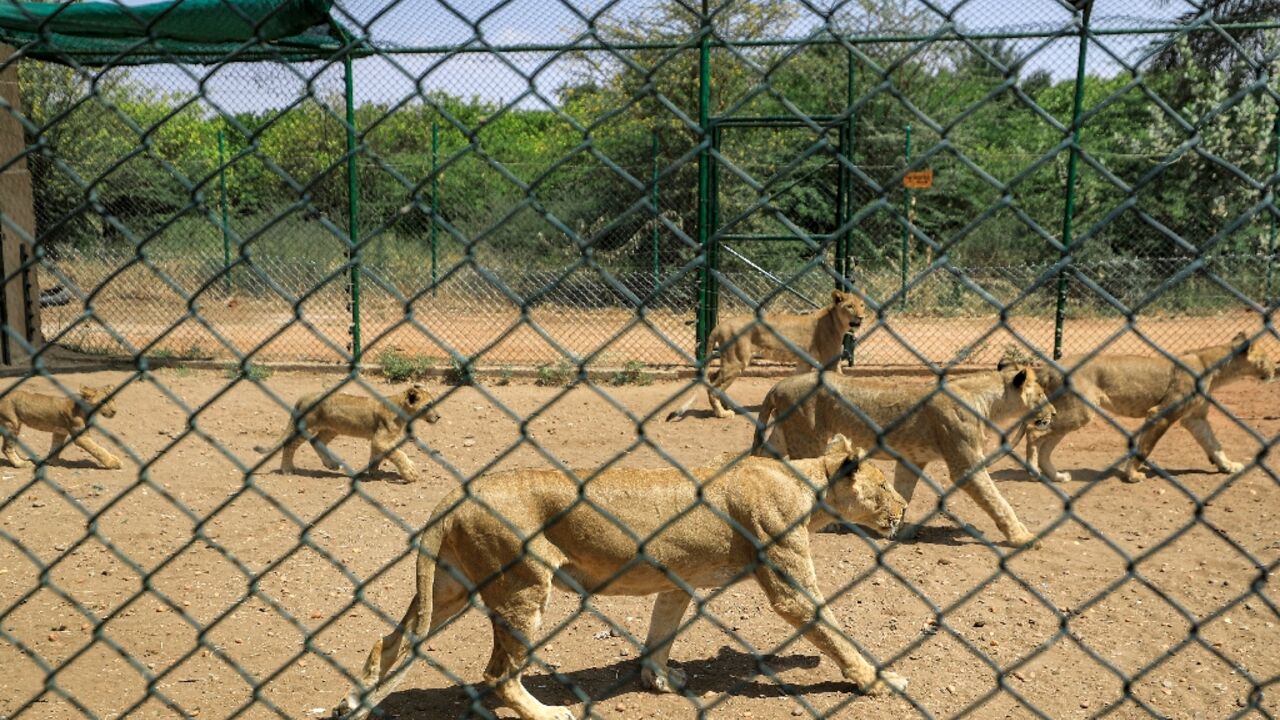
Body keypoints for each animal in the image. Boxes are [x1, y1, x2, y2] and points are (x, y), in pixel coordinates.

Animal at [256, 383, 440, 482]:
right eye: (428, 405)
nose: (439, 416)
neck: (402, 410)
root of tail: (305, 396)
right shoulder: (381, 439)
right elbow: (398, 454)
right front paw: (410, 473)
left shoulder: (378, 440)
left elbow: (377, 455)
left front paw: (373, 472)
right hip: (308, 426)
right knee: (290, 444)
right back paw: (287, 469)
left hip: (332, 428)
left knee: (316, 441)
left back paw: (331, 464)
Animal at [333, 435, 908, 720]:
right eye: (884, 485)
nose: (904, 510)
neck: (808, 485)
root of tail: (457, 493)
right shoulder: (790, 588)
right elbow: (837, 635)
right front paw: (882, 681)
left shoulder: (676, 581)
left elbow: (661, 634)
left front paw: (659, 680)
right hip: (523, 587)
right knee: (497, 675)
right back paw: (549, 713)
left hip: (450, 588)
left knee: (387, 641)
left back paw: (355, 701)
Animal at [666, 289, 866, 421]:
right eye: (850, 306)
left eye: (862, 305)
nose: (862, 317)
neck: (837, 322)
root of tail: (720, 325)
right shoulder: (830, 362)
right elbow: (843, 382)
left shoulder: (804, 361)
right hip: (736, 361)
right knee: (713, 385)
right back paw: (722, 413)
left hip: (730, 360)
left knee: (714, 377)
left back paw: (726, 406)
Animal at [751, 362, 1055, 548]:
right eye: (1041, 395)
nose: (1052, 414)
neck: (987, 402)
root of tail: (779, 385)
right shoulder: (965, 463)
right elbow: (997, 500)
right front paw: (1022, 537)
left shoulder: (912, 460)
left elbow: (904, 492)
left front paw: (898, 528)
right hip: (807, 439)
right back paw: (829, 525)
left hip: (783, 435)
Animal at [1027, 331, 1274, 484]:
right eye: (1267, 358)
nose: (1276, 369)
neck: (1214, 370)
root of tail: (1049, 367)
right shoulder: (1160, 414)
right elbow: (1145, 448)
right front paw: (1132, 475)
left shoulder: (1195, 418)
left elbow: (1214, 444)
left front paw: (1228, 466)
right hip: (1080, 413)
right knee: (1033, 432)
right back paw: (1033, 471)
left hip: (1072, 413)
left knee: (1046, 444)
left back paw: (1056, 476)